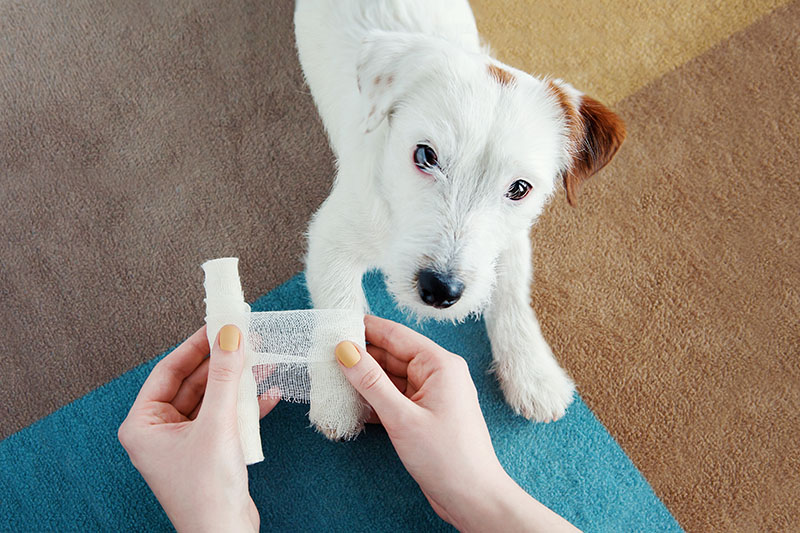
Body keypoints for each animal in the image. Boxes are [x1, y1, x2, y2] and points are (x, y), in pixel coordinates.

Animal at [294, 0, 624, 438]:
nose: (440, 290)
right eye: (425, 155)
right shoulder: (330, 238)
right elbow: (338, 315)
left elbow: (512, 293)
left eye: (520, 188)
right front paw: (339, 398)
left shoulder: (511, 239)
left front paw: (533, 372)